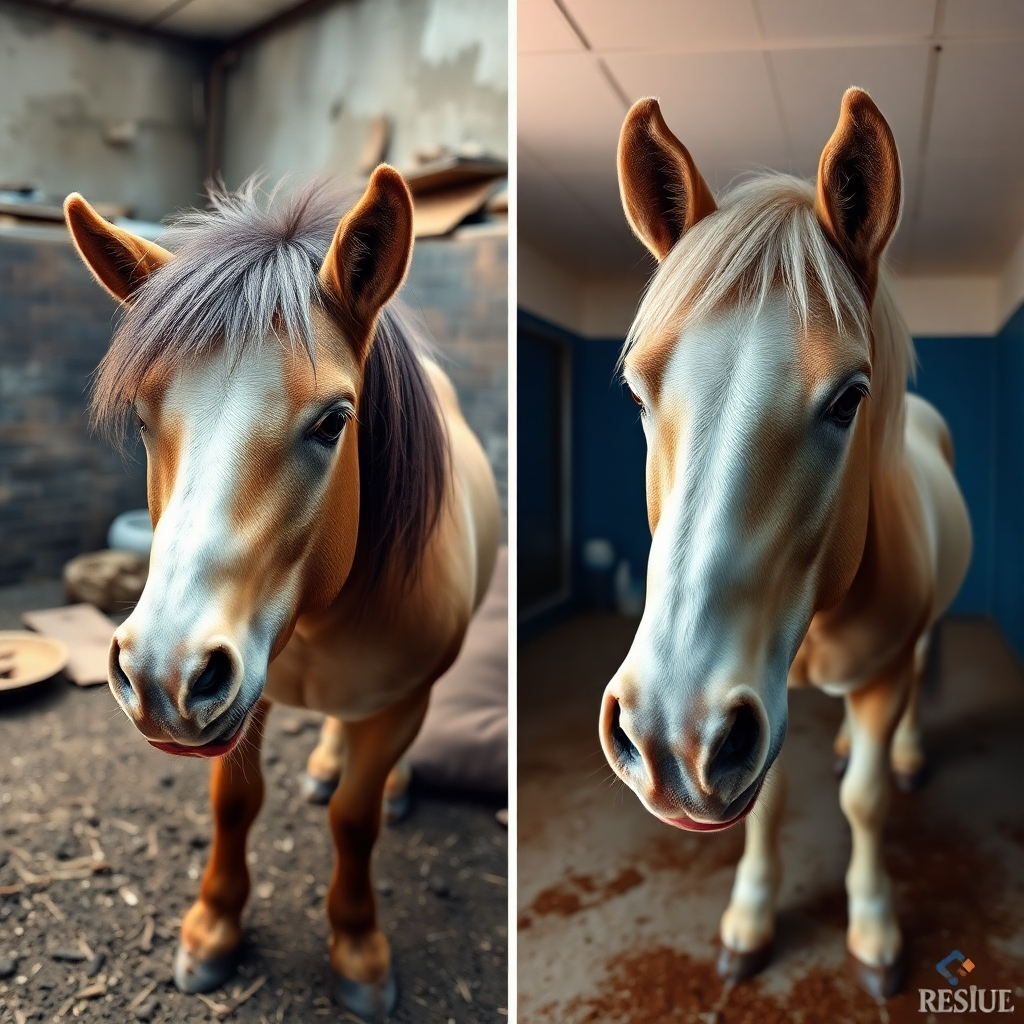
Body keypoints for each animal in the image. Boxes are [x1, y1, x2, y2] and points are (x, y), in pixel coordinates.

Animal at [63, 166, 500, 1021]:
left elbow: (354, 820)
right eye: (144, 419)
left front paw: (358, 949)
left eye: (334, 422)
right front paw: (213, 930)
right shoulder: (245, 698)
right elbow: (235, 804)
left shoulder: (400, 699)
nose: (161, 675)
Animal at [598, 88, 971, 1000]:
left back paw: (906, 752)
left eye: (849, 399)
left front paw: (874, 931)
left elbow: (866, 800)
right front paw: (751, 919)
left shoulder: (878, 673)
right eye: (637, 393)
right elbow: (766, 799)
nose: (668, 736)